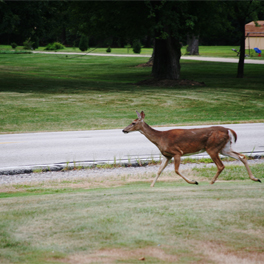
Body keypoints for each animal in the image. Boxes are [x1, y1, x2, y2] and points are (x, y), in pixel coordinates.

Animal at [122, 110, 260, 187]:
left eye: (133, 123)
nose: (123, 130)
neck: (160, 138)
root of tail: (228, 130)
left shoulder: (177, 152)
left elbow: (176, 170)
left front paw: (194, 181)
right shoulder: (167, 155)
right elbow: (159, 170)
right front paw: (151, 185)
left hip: (212, 148)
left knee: (221, 165)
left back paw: (211, 182)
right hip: (224, 148)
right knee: (242, 156)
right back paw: (255, 178)